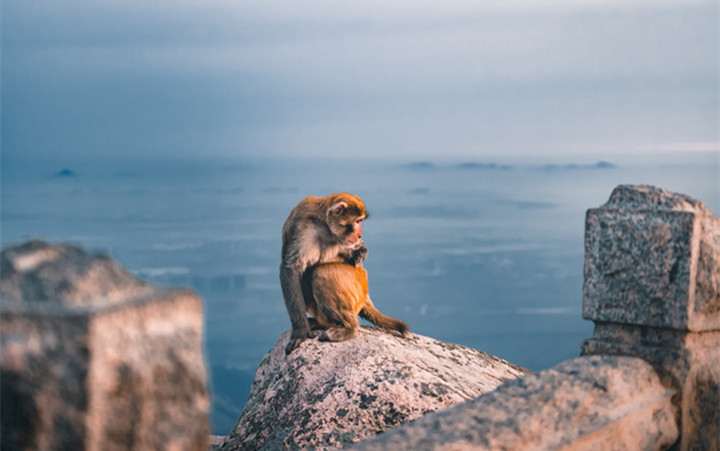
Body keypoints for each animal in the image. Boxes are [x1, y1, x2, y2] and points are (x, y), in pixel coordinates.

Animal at [282, 192, 372, 354]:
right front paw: (300, 332)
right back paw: (321, 323)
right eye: (358, 221)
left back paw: (350, 328)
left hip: (358, 288)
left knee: (321, 272)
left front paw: (360, 252)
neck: (325, 226)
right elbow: (291, 270)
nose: (360, 235)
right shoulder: (299, 227)